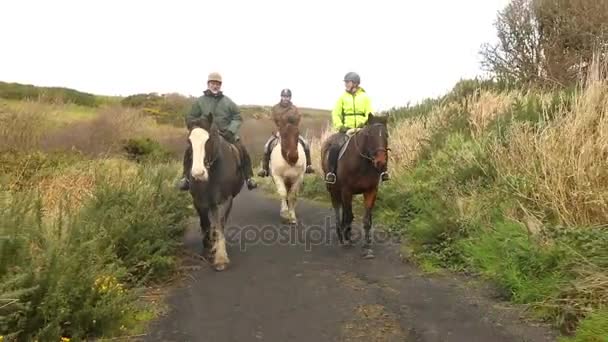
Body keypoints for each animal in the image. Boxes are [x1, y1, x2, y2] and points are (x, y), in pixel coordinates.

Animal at [188, 116, 245, 272]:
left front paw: (220, 258)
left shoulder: (226, 200)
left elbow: (220, 224)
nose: (198, 173)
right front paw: (207, 250)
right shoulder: (199, 201)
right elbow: (205, 224)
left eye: (209, 139)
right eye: (189, 141)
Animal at [318, 113, 390, 258]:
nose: (380, 162)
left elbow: (366, 220)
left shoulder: (371, 191)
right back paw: (341, 236)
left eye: (386, 135)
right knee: (338, 210)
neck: (362, 163)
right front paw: (347, 240)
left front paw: (367, 248)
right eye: (369, 134)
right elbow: (349, 215)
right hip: (334, 190)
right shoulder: (347, 191)